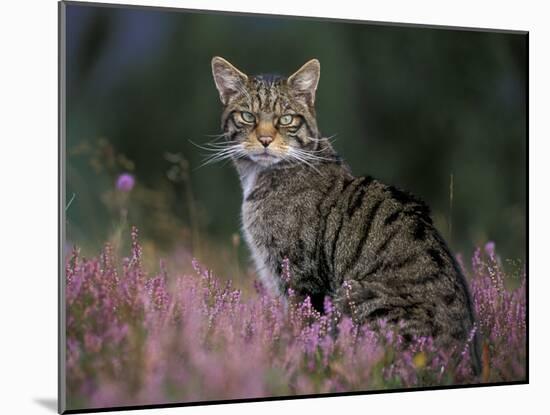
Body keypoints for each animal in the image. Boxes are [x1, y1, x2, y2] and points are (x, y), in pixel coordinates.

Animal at [211, 56, 484, 374]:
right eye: (247, 116)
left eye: (286, 119)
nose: (265, 139)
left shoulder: (302, 281)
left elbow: (303, 330)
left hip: (354, 293)